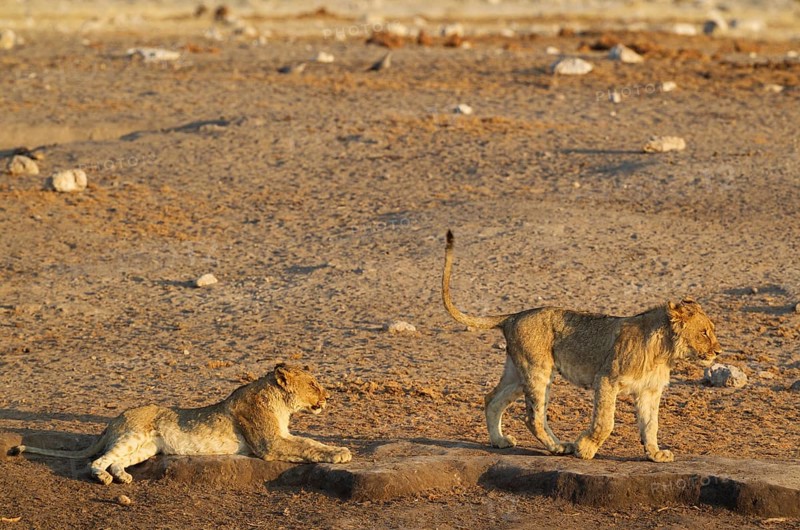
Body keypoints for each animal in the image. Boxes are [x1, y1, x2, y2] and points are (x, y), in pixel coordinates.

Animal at [12, 363, 352, 484]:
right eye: (313, 384)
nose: (328, 396)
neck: (280, 403)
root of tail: (113, 419)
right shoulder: (270, 443)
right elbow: (306, 445)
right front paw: (340, 453)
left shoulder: (280, 436)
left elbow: (309, 441)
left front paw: (338, 450)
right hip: (132, 436)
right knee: (97, 461)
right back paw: (105, 478)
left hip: (146, 448)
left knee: (116, 461)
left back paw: (122, 478)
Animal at [442, 230, 721, 462]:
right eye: (705, 332)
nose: (719, 351)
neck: (664, 352)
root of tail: (513, 316)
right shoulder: (606, 379)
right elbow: (605, 422)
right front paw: (584, 449)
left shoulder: (649, 391)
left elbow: (651, 424)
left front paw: (655, 454)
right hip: (538, 370)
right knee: (533, 417)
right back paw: (558, 447)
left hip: (517, 372)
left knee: (492, 399)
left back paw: (499, 441)